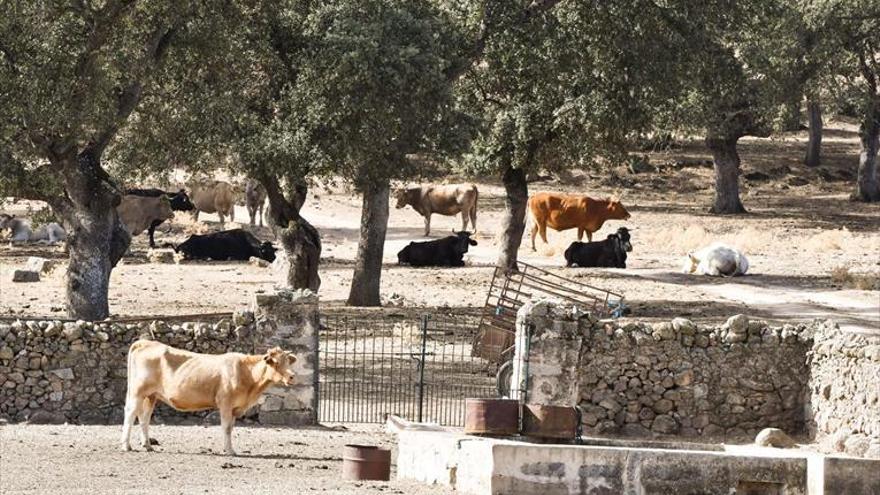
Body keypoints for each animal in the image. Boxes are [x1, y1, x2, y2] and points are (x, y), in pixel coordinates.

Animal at [118, 340, 298, 458]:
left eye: (288, 362)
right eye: (275, 362)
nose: (291, 376)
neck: (248, 375)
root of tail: (145, 342)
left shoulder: (235, 408)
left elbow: (231, 428)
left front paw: (228, 448)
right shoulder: (225, 403)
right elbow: (226, 428)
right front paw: (230, 451)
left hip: (151, 395)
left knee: (144, 417)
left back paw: (147, 445)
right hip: (137, 392)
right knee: (131, 414)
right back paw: (126, 445)